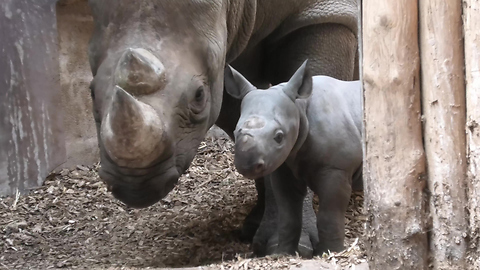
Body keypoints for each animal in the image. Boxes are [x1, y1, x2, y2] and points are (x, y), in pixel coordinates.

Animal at [227, 60, 362, 255]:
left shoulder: (336, 168)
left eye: (279, 137)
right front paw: (282, 253)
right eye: (235, 131)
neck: (300, 108)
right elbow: (288, 215)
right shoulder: (284, 164)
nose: (247, 166)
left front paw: (330, 252)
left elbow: (329, 214)